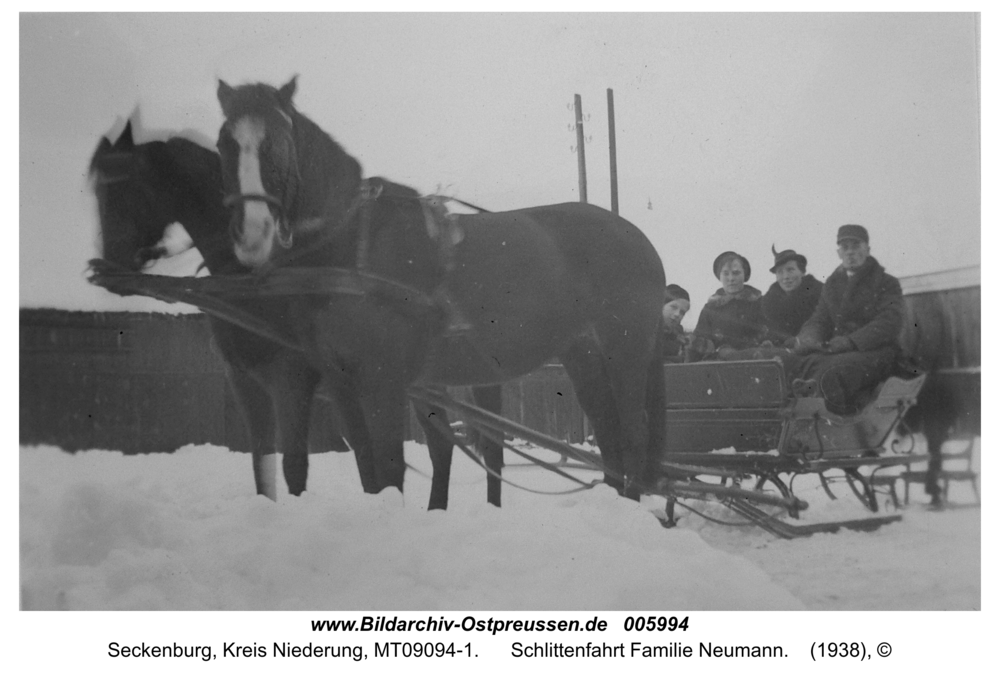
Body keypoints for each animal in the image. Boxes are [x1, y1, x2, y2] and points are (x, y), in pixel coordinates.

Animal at [216, 78, 664, 502]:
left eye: (276, 142)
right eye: (224, 142)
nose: (251, 231)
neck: (354, 246)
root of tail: (639, 240)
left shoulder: (382, 381)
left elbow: (390, 467)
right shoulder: (343, 383)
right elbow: (369, 467)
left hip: (624, 348)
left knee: (633, 433)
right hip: (582, 353)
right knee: (607, 431)